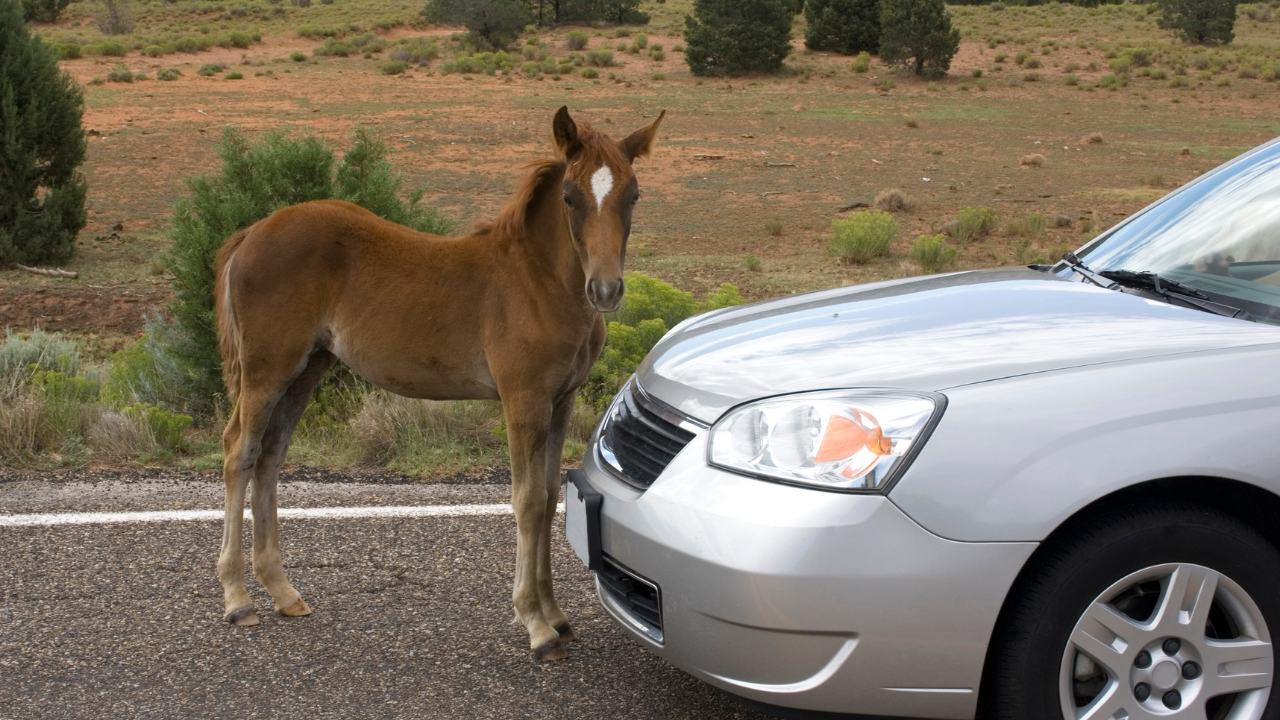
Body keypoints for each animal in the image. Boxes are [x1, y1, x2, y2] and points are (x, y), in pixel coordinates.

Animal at [212, 106, 664, 661]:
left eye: (633, 194)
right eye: (570, 197)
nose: (605, 289)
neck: (540, 283)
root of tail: (252, 232)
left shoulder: (560, 400)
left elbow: (549, 495)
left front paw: (557, 617)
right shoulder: (523, 400)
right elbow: (528, 501)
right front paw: (536, 625)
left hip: (307, 368)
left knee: (271, 457)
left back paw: (283, 591)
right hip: (267, 369)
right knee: (240, 452)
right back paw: (237, 599)